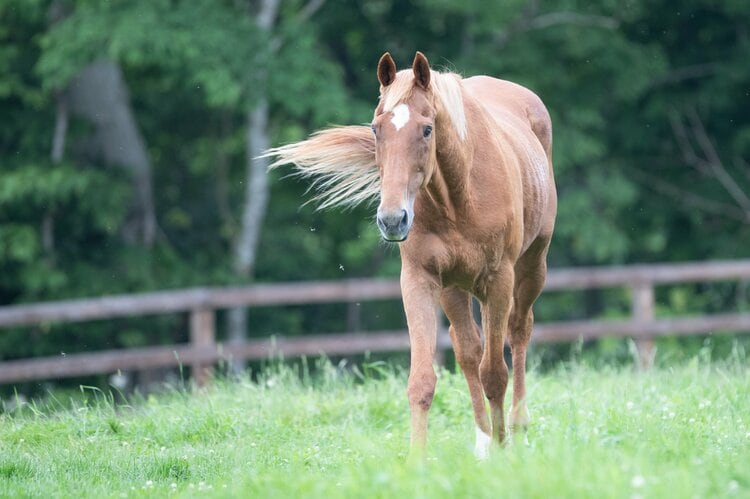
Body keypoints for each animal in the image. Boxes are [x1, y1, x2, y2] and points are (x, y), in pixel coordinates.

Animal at [266, 51, 556, 458]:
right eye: (376, 129)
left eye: (427, 129)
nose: (392, 219)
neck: (459, 196)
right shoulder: (420, 280)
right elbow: (422, 379)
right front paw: (418, 460)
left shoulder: (499, 280)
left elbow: (495, 373)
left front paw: (504, 449)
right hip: (455, 288)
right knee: (469, 348)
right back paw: (483, 439)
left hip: (531, 268)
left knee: (518, 332)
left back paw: (517, 429)